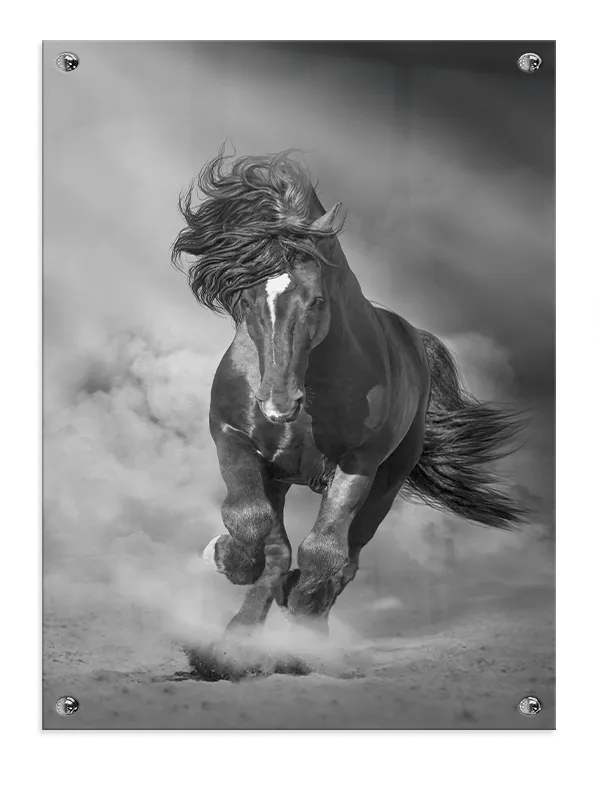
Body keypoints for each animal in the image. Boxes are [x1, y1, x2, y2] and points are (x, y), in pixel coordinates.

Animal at [171, 150, 527, 676]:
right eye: (246, 298)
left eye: (316, 300)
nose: (277, 404)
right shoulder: (233, 437)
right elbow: (252, 522)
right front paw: (225, 560)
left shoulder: (359, 462)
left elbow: (324, 553)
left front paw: (301, 625)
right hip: (281, 475)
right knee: (278, 549)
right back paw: (235, 644)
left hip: (387, 482)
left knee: (347, 558)